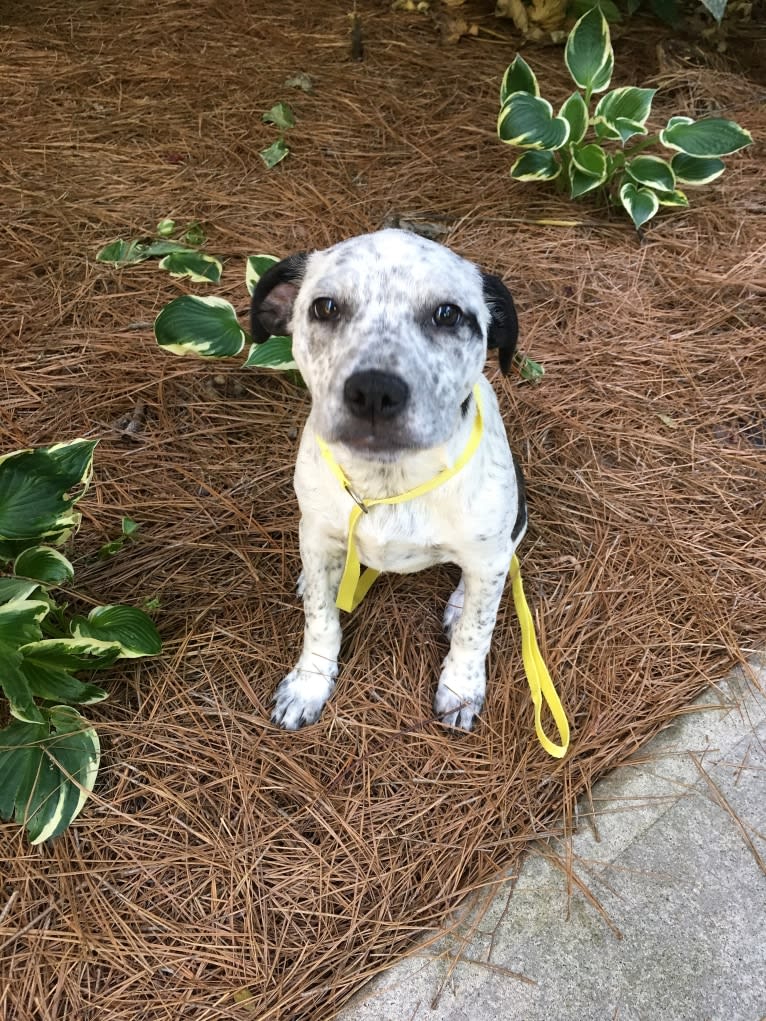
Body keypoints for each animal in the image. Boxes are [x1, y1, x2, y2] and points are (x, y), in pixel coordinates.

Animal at [252, 227, 527, 731]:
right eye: (324, 307)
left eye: (447, 314)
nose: (374, 391)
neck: (389, 481)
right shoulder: (316, 531)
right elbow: (320, 618)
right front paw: (310, 682)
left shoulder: (487, 554)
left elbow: (477, 630)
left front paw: (460, 688)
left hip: (511, 527)